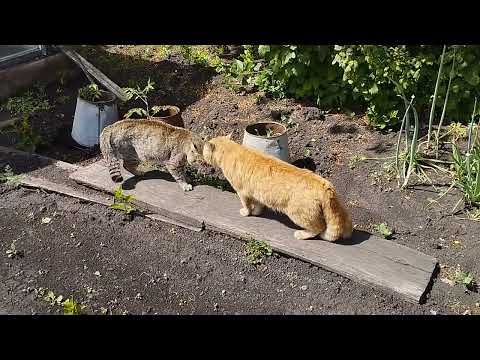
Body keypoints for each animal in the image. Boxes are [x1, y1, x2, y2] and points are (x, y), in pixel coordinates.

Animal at [202, 135, 352, 242]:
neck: (232, 149)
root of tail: (325, 186)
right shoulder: (257, 193)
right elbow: (258, 205)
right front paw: (257, 212)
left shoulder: (242, 192)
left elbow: (246, 205)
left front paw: (246, 212)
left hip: (298, 214)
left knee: (319, 227)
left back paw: (301, 234)